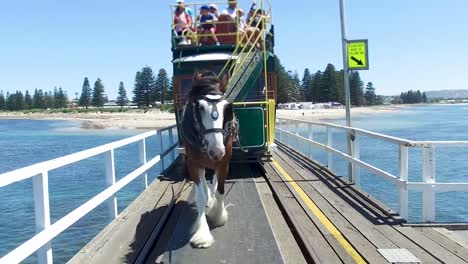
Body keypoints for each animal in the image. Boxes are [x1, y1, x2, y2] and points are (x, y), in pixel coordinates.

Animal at [179, 70, 238, 248]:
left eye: (227, 108)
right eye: (199, 107)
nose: (217, 149)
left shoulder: (224, 162)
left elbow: (220, 192)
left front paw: (217, 215)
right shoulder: (193, 164)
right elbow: (200, 196)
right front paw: (202, 233)